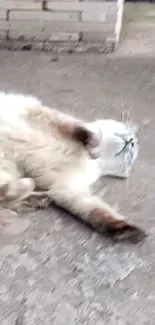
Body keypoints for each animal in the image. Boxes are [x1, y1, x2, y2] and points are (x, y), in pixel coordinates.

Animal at [0, 92, 147, 242]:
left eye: (130, 155)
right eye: (128, 135)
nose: (132, 142)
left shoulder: (67, 189)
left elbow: (94, 212)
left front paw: (126, 231)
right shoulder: (54, 118)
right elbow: (89, 134)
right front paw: (94, 147)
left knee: (6, 198)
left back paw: (37, 199)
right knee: (9, 194)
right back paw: (33, 194)